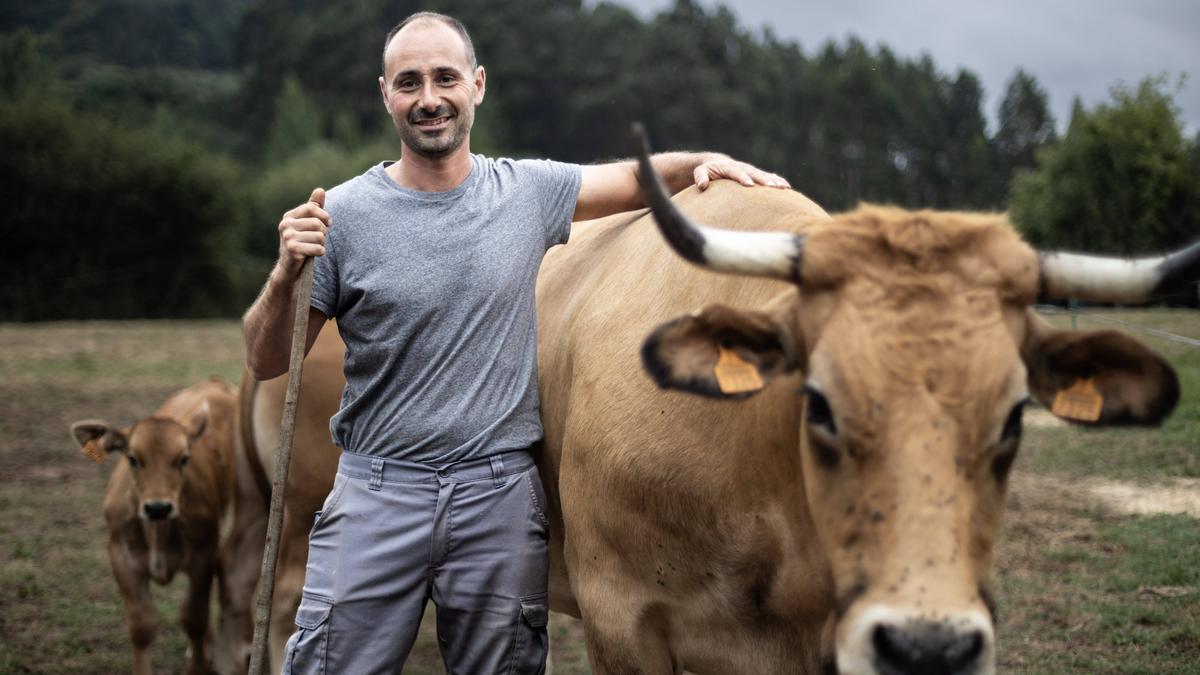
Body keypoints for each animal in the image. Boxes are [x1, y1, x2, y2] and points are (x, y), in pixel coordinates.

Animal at [73, 374, 266, 667]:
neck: (158, 533)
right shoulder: (121, 558)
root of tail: (213, 382)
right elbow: (142, 625)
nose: (158, 507)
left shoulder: (202, 555)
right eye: (133, 458)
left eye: (183, 459)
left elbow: (193, 618)